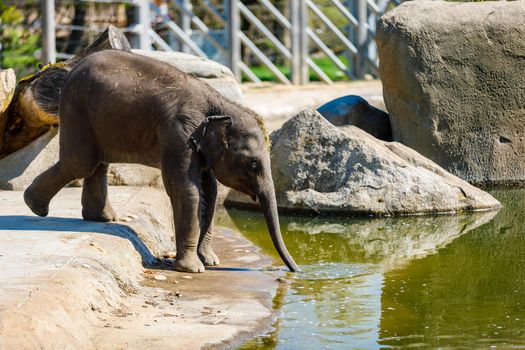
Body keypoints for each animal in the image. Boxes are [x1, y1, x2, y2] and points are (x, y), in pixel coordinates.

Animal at [23, 49, 298, 274]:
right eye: (253, 165)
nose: (295, 271)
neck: (219, 104)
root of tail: (71, 69)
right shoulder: (180, 135)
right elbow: (186, 189)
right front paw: (193, 269)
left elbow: (210, 189)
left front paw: (210, 262)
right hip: (76, 110)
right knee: (80, 162)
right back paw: (35, 206)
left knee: (96, 163)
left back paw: (102, 218)